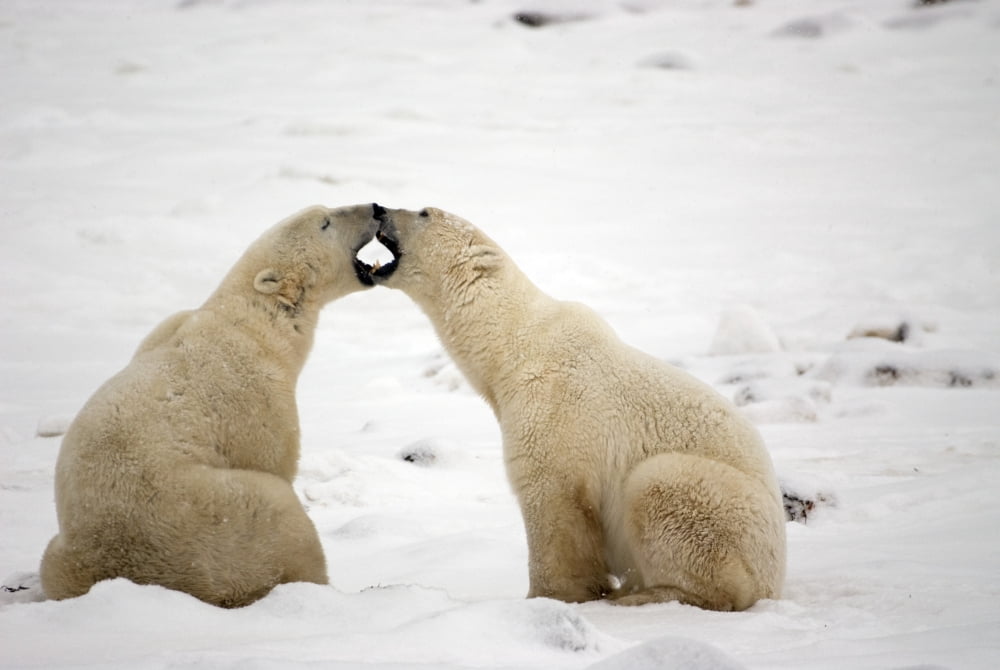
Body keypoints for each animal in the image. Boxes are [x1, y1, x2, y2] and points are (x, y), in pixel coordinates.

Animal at [40, 203, 383, 608]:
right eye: (326, 222)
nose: (376, 208)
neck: (254, 326)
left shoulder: (165, 326)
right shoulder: (259, 397)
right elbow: (273, 458)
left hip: (60, 557)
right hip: (220, 523)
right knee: (285, 520)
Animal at [368, 206, 786, 611]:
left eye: (424, 212)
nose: (377, 208)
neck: (514, 345)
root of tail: (775, 581)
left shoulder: (554, 409)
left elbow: (553, 502)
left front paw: (550, 595)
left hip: (724, 515)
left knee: (662, 488)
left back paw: (644, 595)